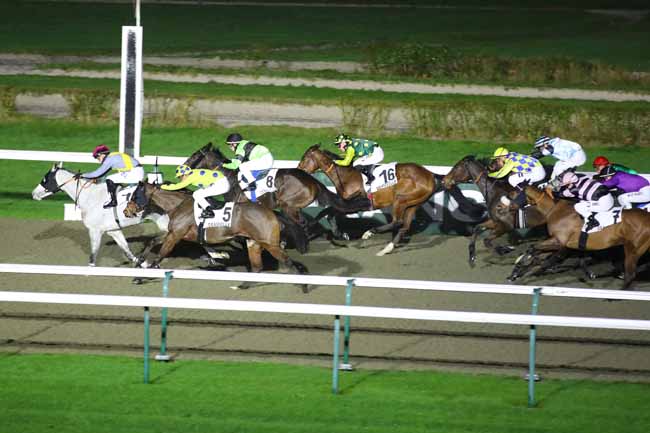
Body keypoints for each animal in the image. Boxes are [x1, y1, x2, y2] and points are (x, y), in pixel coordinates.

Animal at [31, 165, 168, 264]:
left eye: (45, 179)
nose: (33, 193)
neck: (90, 197)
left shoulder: (94, 230)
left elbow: (93, 255)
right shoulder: (113, 230)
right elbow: (126, 250)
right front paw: (142, 264)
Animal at [125, 180, 310, 290]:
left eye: (134, 196)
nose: (126, 211)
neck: (178, 204)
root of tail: (272, 213)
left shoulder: (175, 235)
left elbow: (161, 255)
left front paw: (143, 275)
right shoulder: (172, 233)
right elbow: (151, 242)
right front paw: (138, 266)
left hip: (270, 243)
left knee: (288, 261)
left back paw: (303, 285)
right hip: (253, 242)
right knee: (257, 267)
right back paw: (242, 285)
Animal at [181, 142, 370, 238]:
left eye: (194, 155)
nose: (181, 169)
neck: (230, 178)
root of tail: (312, 181)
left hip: (289, 205)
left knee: (302, 224)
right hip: (293, 207)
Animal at [294, 143, 480, 255]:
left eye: (305, 158)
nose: (297, 170)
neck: (346, 176)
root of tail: (430, 174)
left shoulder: (357, 203)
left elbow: (328, 212)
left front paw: (314, 228)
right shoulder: (346, 203)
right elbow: (329, 213)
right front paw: (340, 233)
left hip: (401, 199)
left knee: (397, 222)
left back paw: (369, 233)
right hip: (413, 203)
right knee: (404, 226)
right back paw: (386, 248)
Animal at [506, 185, 648, 288]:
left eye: (515, 194)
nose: (509, 207)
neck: (556, 211)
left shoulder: (560, 242)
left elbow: (536, 251)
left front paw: (523, 271)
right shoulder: (559, 243)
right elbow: (537, 253)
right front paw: (515, 273)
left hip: (633, 249)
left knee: (630, 274)